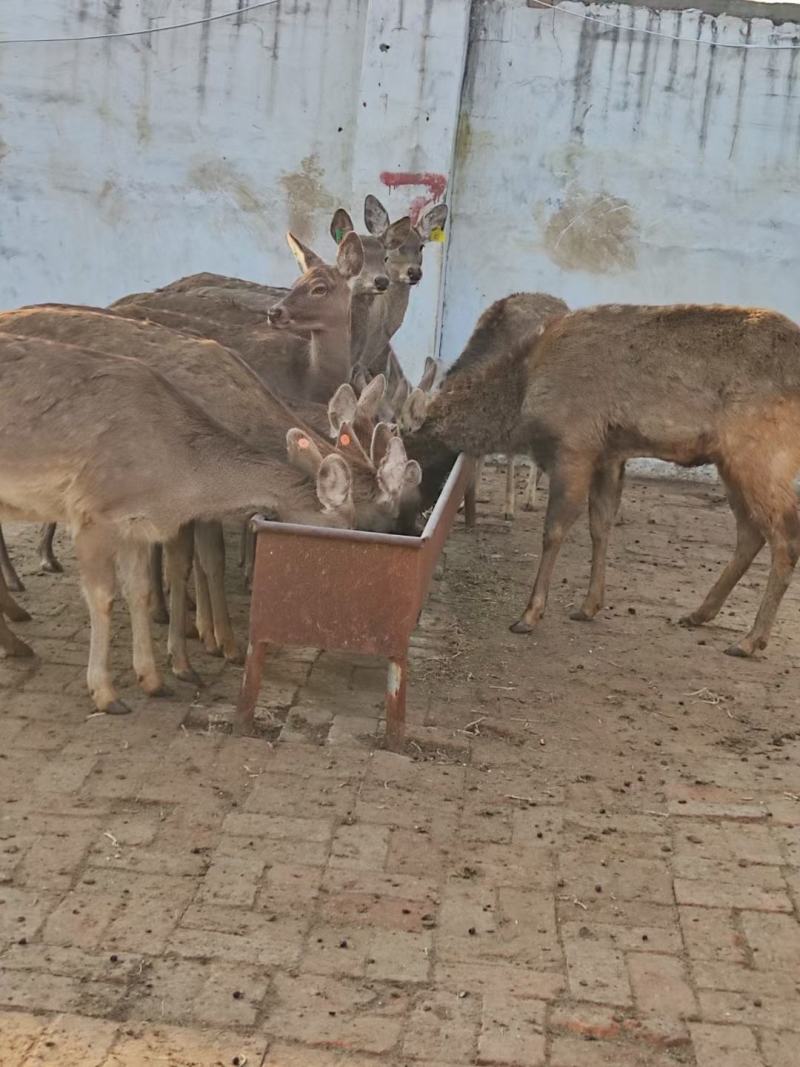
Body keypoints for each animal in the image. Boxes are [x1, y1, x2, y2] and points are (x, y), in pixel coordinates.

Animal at [406, 302, 800, 659]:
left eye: (411, 448)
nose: (413, 513)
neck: (523, 397)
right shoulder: (609, 455)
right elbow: (600, 524)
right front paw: (589, 605)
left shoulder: (575, 445)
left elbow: (555, 529)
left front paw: (529, 614)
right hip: (731, 462)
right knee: (750, 532)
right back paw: (700, 613)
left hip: (761, 454)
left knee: (784, 537)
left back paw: (750, 640)